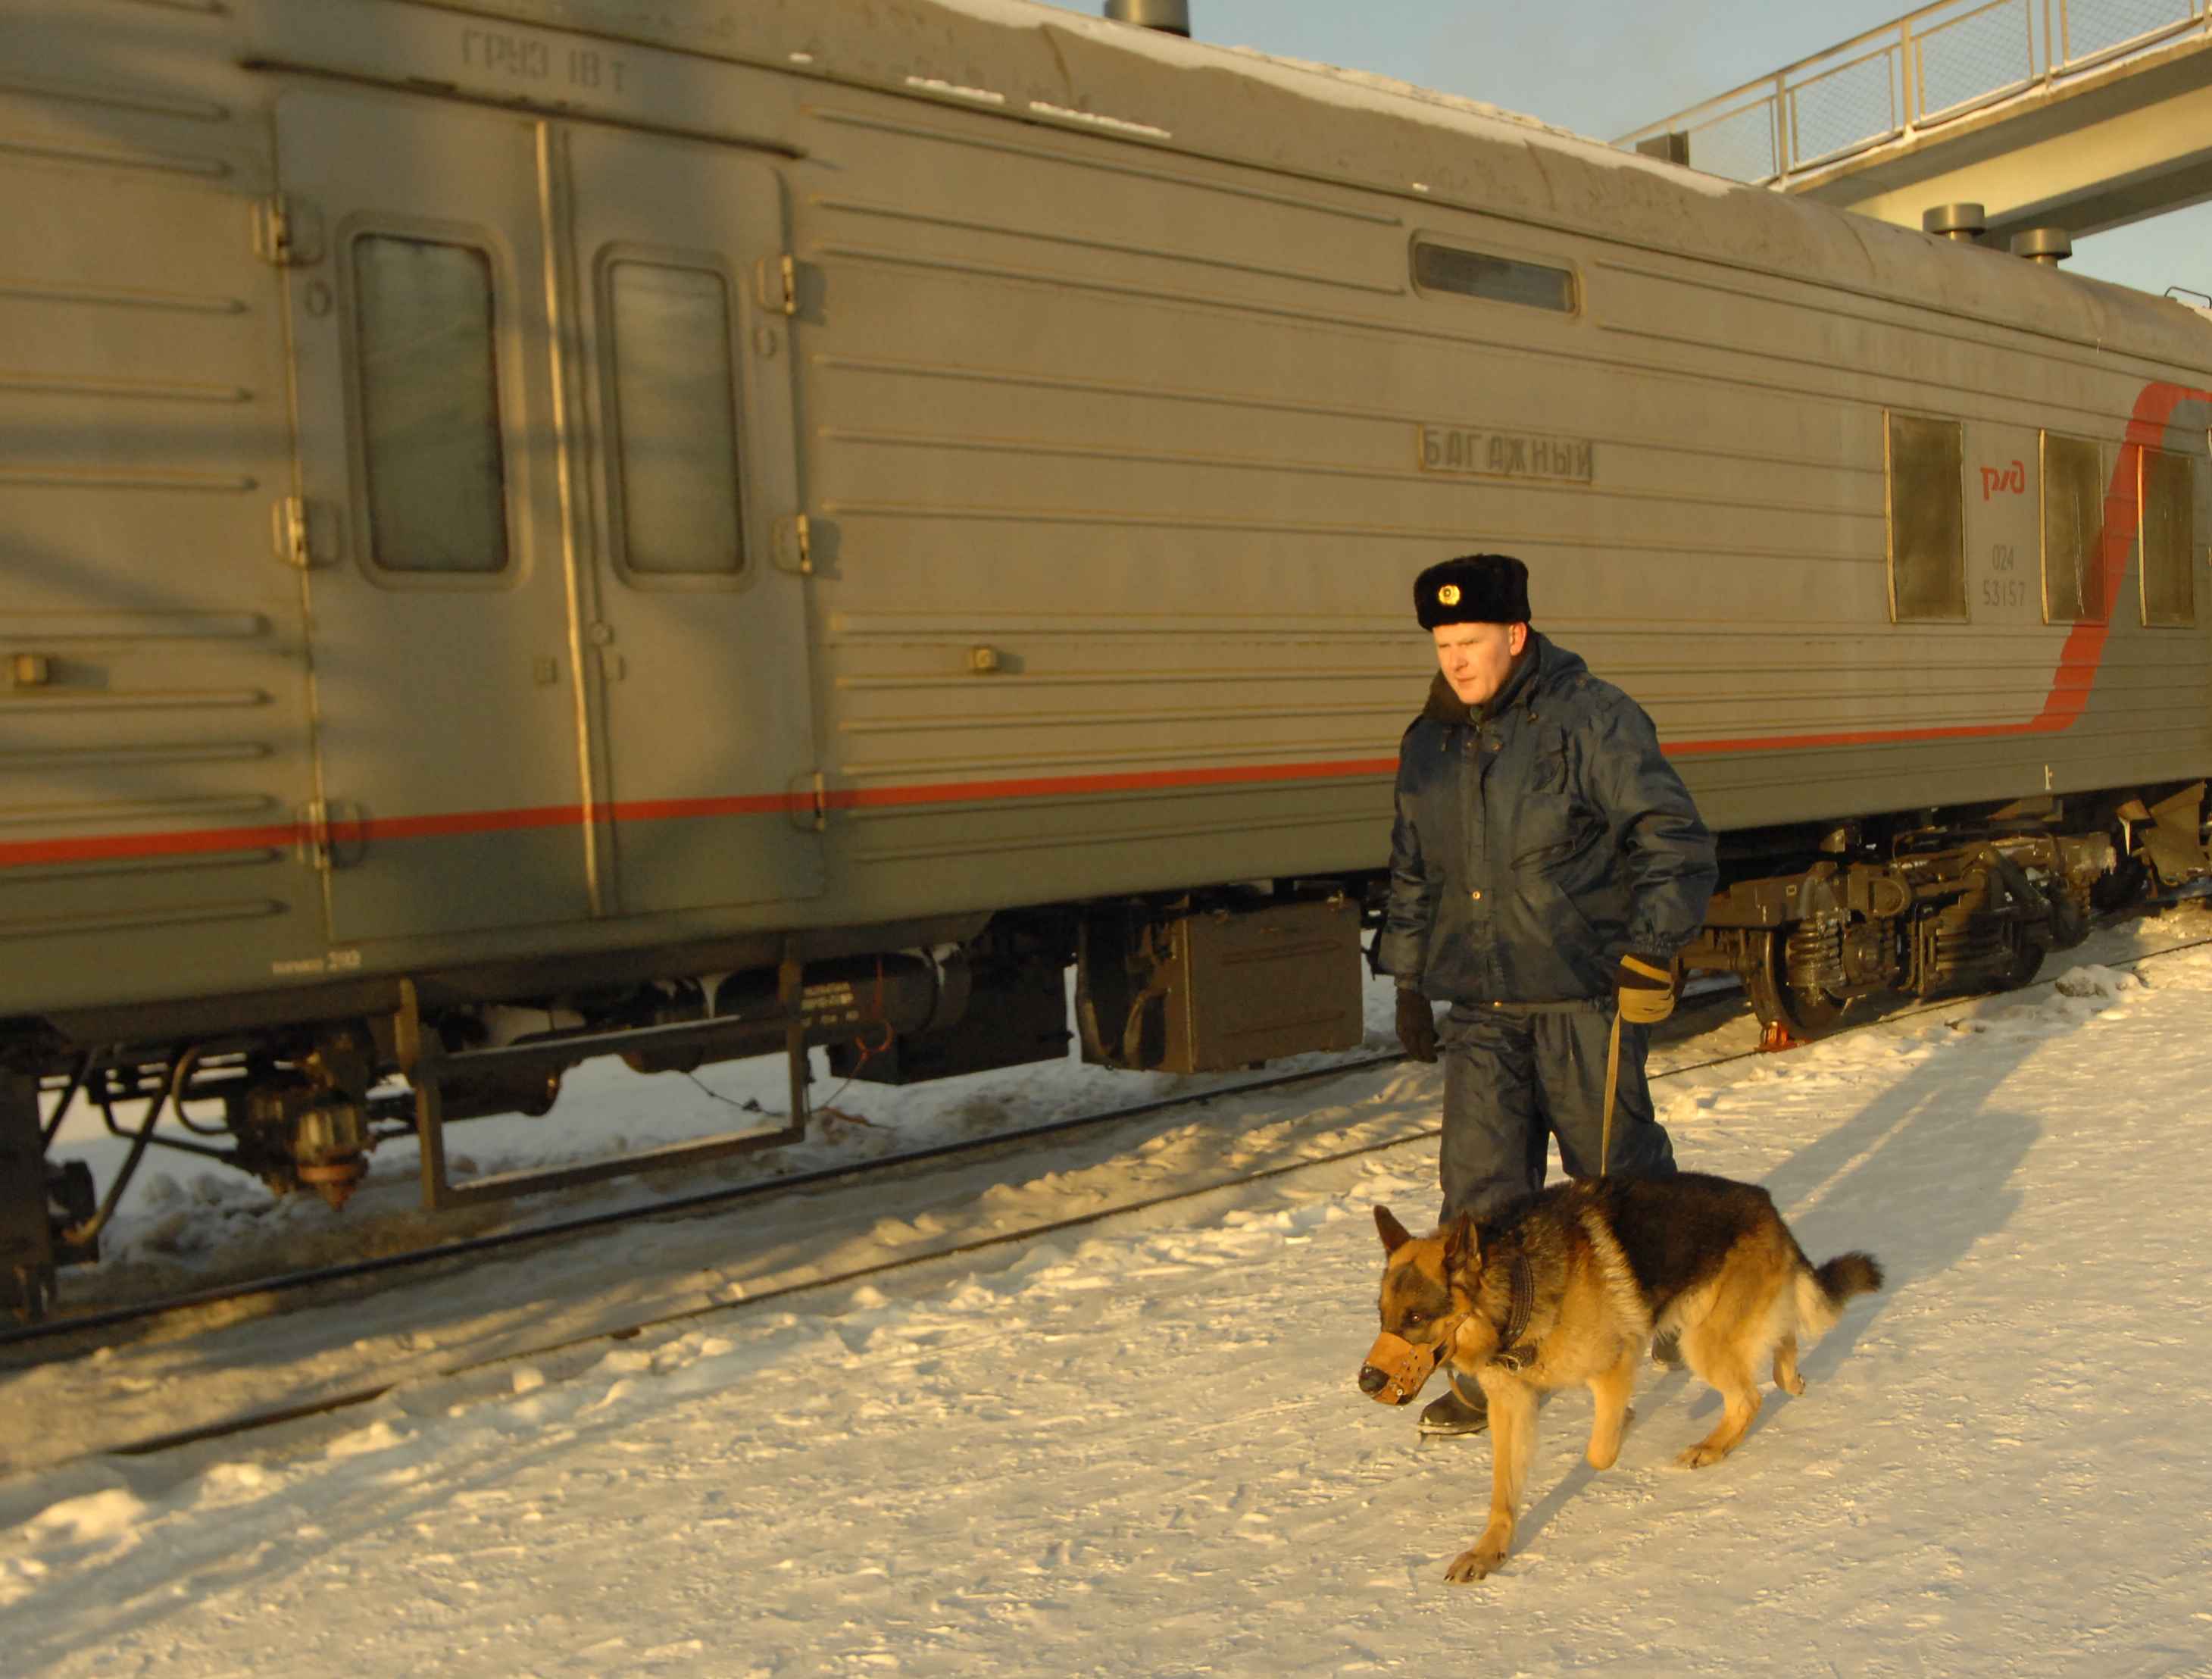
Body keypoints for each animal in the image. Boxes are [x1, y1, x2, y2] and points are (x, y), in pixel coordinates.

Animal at [1354, 1177, 1876, 1584]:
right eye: (1383, 1317)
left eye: (1416, 1318)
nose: (1367, 1382)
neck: (1521, 1285)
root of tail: (1767, 1205)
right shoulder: (1510, 1407)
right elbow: (1503, 1492)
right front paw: (1489, 1551)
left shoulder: (1612, 1367)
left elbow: (1599, 1452)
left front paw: (1623, 1422)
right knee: (1782, 1336)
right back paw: (1788, 1374)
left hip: (1702, 1341)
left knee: (1748, 1397)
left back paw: (1712, 1446)